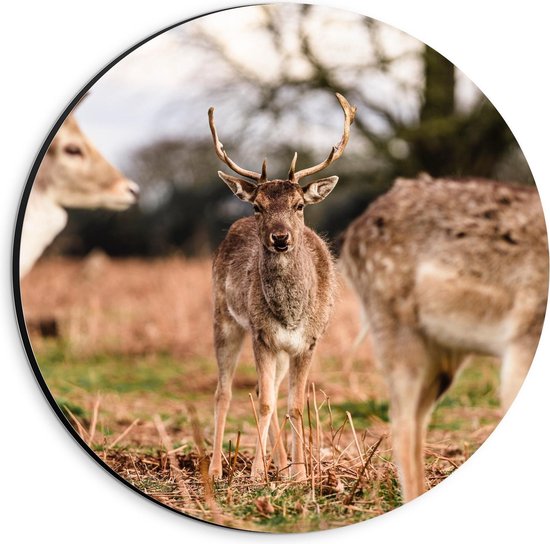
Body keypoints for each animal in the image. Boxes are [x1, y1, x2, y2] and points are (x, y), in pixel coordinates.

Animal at [207, 92, 358, 480]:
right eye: (258, 206)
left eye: (299, 205)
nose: (280, 238)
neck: (291, 314)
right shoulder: (262, 335)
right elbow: (263, 402)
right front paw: (256, 475)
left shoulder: (309, 341)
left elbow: (296, 405)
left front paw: (300, 475)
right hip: (224, 318)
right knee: (225, 392)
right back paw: (216, 469)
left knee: (273, 394)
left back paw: (281, 464)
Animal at [342, 174, 548, 502]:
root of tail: (350, 236)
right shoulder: (526, 332)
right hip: (393, 325)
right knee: (402, 421)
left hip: (442, 352)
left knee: (416, 418)